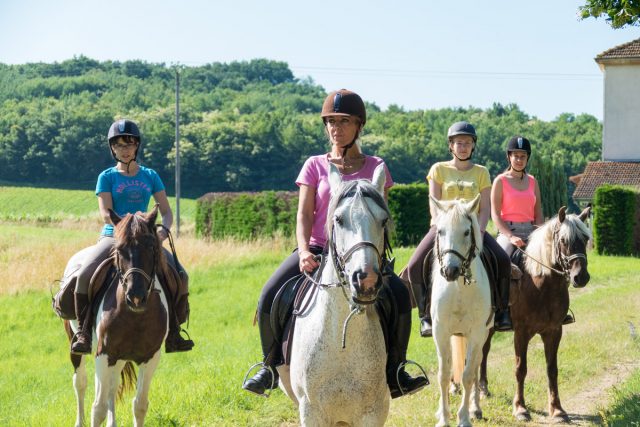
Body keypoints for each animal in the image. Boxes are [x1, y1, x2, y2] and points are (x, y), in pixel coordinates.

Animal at [63, 206, 169, 426]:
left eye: (151, 247)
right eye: (119, 250)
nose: (136, 297)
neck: (136, 318)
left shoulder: (150, 357)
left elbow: (140, 405)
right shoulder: (104, 354)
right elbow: (98, 408)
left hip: (119, 358)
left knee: (112, 385)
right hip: (76, 345)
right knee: (81, 383)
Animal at [432, 196, 492, 427]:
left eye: (467, 232)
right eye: (440, 231)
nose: (450, 270)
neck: (458, 287)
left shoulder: (476, 334)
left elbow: (467, 375)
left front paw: (464, 417)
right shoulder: (440, 332)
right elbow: (443, 374)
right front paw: (444, 417)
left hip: (483, 335)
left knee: (474, 368)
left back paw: (476, 408)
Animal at [480, 207, 592, 424]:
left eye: (585, 238)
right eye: (563, 240)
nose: (580, 277)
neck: (539, 283)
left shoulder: (554, 331)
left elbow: (552, 369)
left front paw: (557, 410)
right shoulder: (521, 333)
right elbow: (520, 369)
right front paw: (520, 409)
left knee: (483, 351)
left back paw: (482, 389)